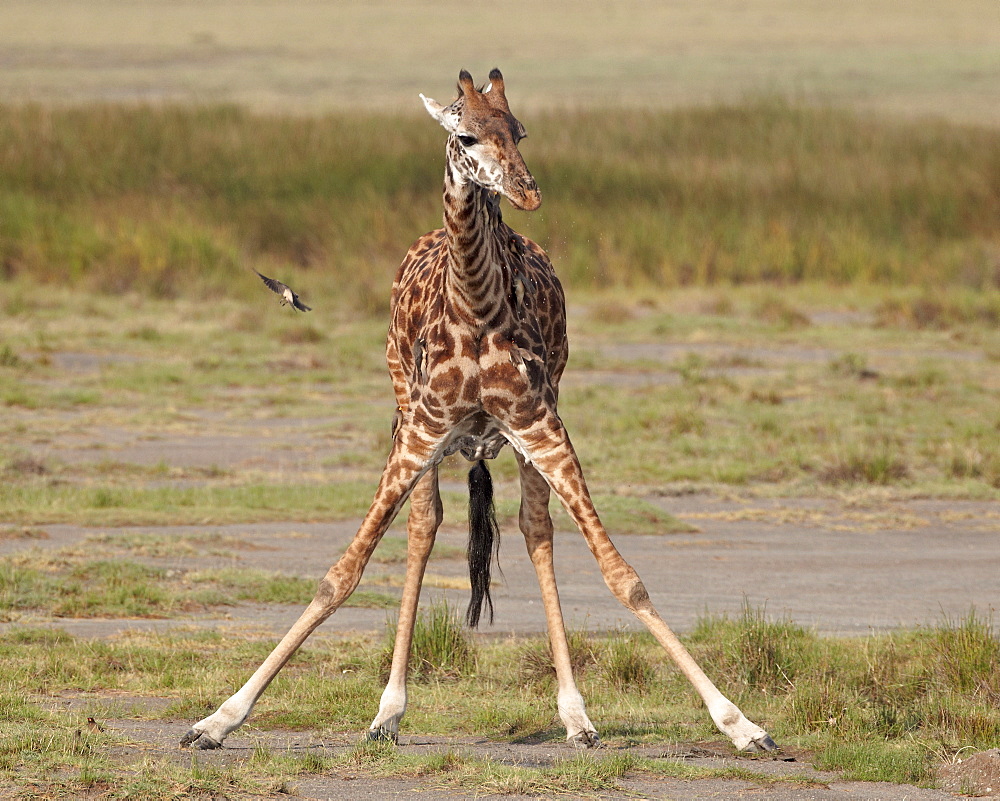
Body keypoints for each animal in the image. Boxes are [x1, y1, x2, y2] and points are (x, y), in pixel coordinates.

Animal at [180, 67, 776, 752]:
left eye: (520, 130)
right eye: (465, 134)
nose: (526, 192)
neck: (476, 307)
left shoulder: (541, 423)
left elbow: (621, 574)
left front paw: (741, 724)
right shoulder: (422, 428)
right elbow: (343, 572)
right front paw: (218, 718)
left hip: (521, 431)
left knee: (535, 529)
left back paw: (574, 715)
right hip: (406, 412)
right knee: (423, 526)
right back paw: (388, 712)